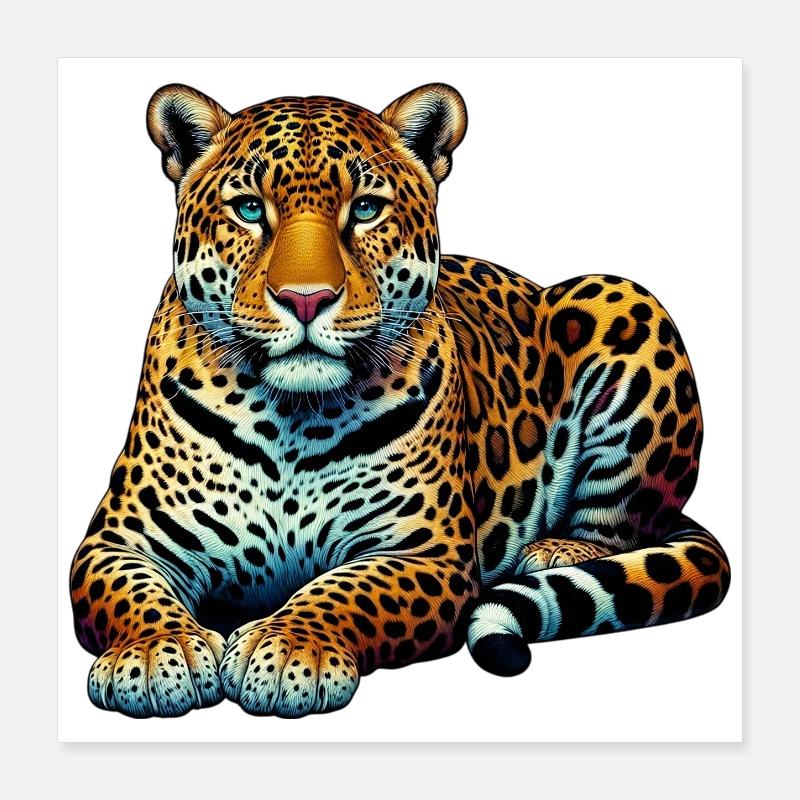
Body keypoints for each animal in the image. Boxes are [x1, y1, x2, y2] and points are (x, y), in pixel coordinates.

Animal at [69, 82, 730, 718]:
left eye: (365, 209)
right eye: (250, 209)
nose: (305, 299)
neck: (289, 418)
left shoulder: (424, 553)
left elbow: (348, 591)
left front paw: (290, 649)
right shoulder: (119, 540)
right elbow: (130, 592)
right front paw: (156, 653)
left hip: (620, 298)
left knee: (625, 523)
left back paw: (554, 550)